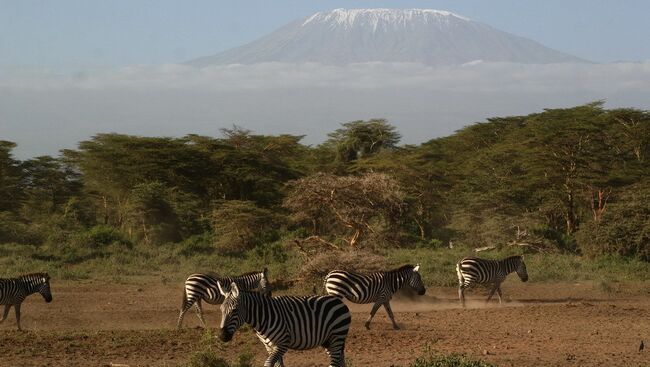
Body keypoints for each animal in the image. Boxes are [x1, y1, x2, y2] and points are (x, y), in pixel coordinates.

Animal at [218, 282, 350, 367]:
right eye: (221, 310)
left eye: (234, 310)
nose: (222, 336)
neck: (263, 317)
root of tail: (338, 301)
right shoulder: (269, 346)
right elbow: (278, 365)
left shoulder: (282, 343)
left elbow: (268, 364)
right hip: (328, 341)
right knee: (340, 361)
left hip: (337, 336)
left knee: (335, 362)